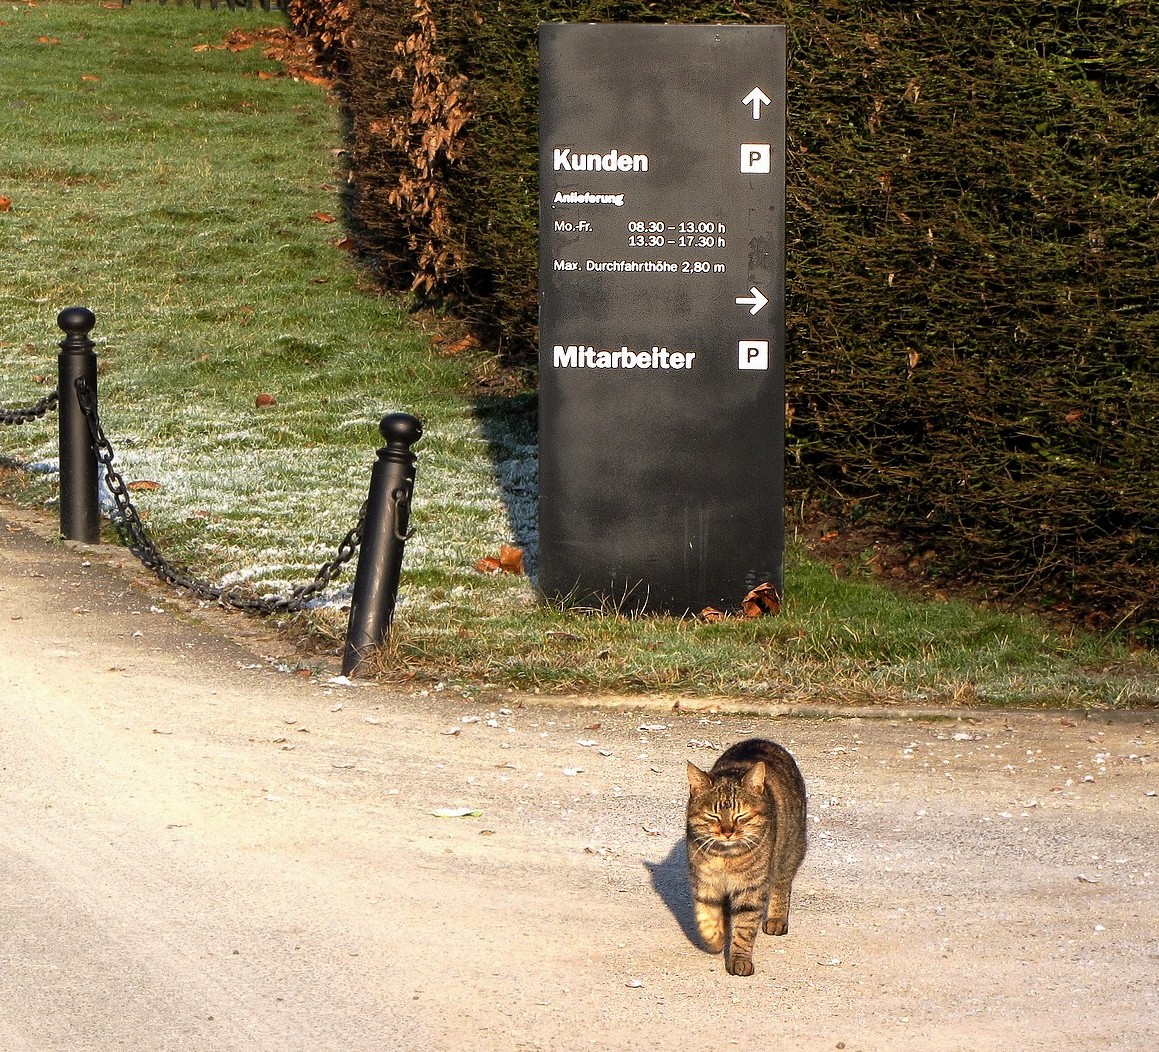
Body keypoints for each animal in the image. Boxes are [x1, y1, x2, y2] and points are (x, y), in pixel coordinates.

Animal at [686, 741, 806, 977]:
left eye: (741, 816)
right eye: (713, 816)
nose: (727, 832)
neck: (725, 857)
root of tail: (763, 740)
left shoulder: (751, 889)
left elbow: (744, 927)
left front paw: (740, 960)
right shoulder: (704, 882)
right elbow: (706, 917)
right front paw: (716, 939)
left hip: (790, 851)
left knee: (782, 885)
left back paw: (776, 919)